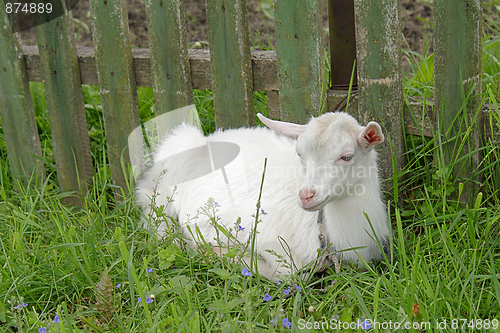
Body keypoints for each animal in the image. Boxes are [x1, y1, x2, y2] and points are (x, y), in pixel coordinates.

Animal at [137, 111, 390, 280]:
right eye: (300, 154)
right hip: (161, 194)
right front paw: (231, 257)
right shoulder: (267, 237)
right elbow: (288, 272)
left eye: (347, 156)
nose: (306, 195)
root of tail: (207, 139)